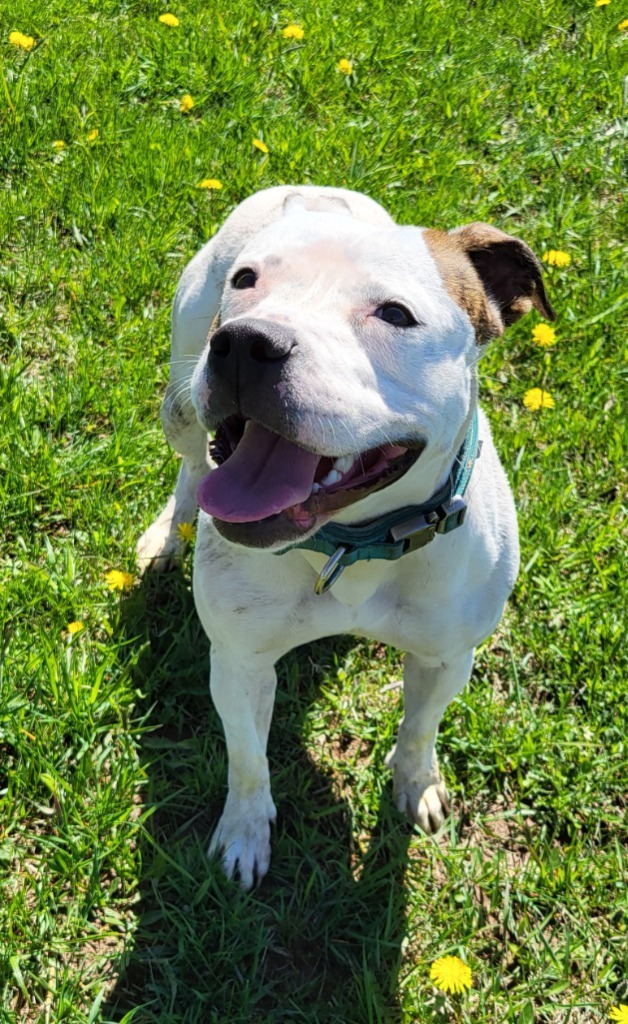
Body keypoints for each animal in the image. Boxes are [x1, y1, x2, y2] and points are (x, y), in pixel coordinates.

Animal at [138, 184, 553, 888]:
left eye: (395, 314)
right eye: (246, 281)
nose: (245, 342)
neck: (354, 543)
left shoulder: (447, 657)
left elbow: (420, 727)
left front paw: (416, 786)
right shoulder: (240, 661)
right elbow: (247, 760)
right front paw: (245, 834)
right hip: (181, 399)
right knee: (193, 464)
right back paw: (167, 534)